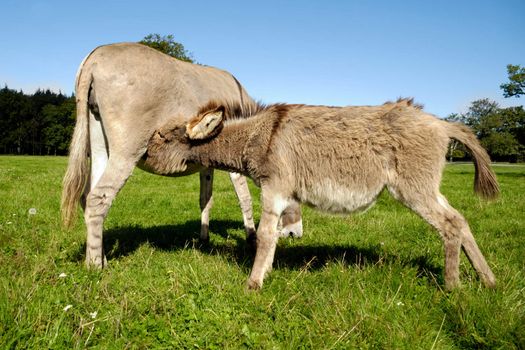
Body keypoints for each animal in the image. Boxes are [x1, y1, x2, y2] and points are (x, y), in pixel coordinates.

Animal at [144, 98, 500, 290]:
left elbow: (265, 235)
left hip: (413, 189)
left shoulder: (274, 187)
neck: (259, 135)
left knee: (449, 225)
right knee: (460, 219)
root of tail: (442, 124)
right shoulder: (282, 192)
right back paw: (487, 280)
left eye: (162, 137)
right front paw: (266, 273)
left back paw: (452, 287)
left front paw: (253, 284)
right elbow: (274, 234)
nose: (142, 155)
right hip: (427, 187)